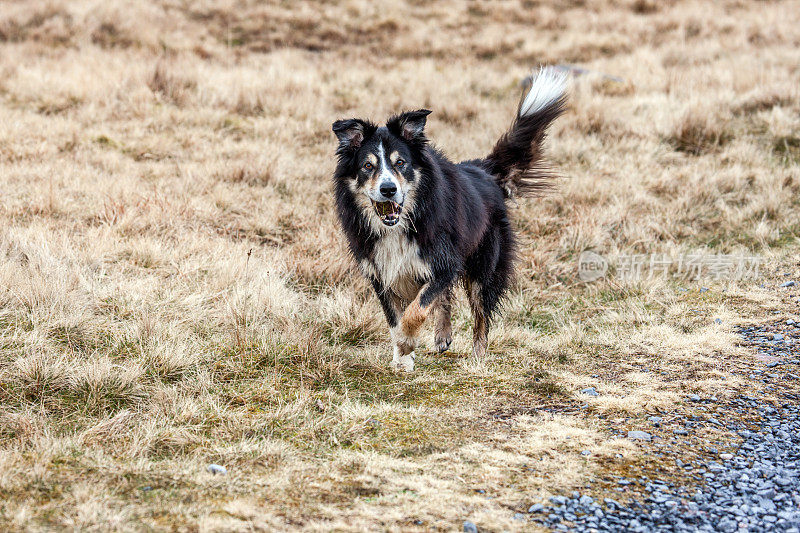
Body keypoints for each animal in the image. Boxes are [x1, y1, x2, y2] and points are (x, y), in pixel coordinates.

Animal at [332, 66, 568, 372]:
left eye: (400, 163)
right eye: (367, 166)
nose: (388, 189)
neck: (402, 224)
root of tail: (482, 170)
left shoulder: (443, 259)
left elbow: (416, 309)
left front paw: (407, 343)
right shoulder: (380, 271)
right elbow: (396, 318)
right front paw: (402, 357)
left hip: (485, 264)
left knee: (481, 314)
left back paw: (478, 358)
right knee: (445, 297)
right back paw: (442, 336)